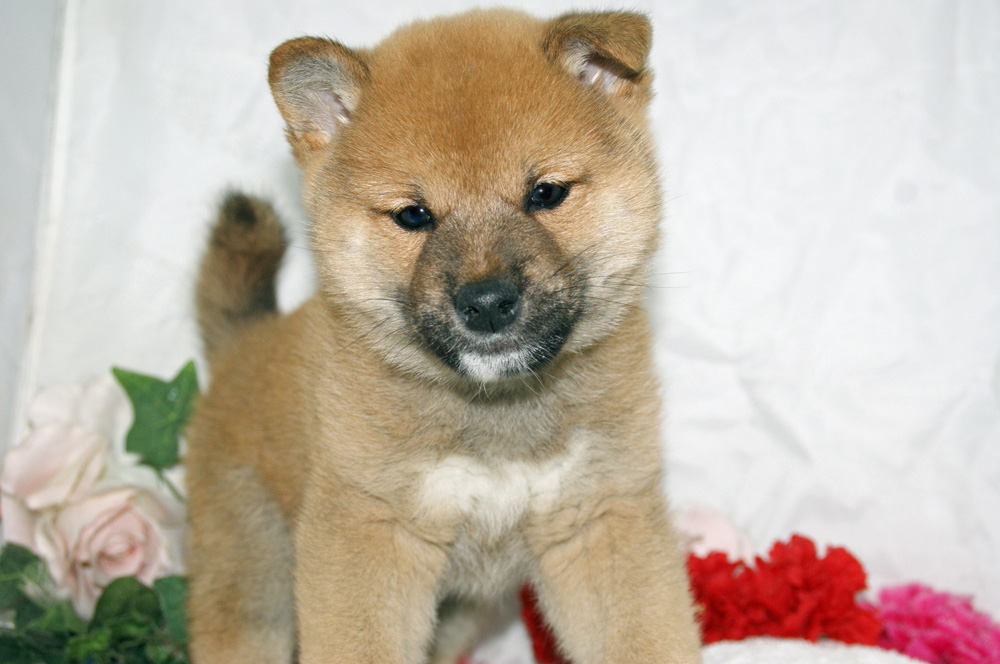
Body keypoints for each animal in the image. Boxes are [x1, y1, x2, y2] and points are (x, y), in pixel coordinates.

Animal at [186, 9, 704, 664]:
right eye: (413, 215)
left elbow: (646, 638)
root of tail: (243, 345)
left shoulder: (601, 517)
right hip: (253, 574)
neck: (497, 414)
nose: (486, 304)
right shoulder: (369, 533)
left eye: (546, 193)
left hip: (456, 614)